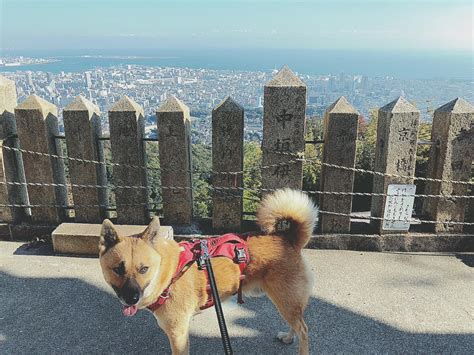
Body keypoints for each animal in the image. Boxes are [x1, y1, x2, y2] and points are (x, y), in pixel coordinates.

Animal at [100, 188, 320, 354]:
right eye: (117, 269)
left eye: (144, 269)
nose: (131, 298)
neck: (168, 273)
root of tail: (288, 238)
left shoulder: (178, 335)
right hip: (287, 302)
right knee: (297, 323)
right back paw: (288, 337)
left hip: (285, 300)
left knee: (303, 329)